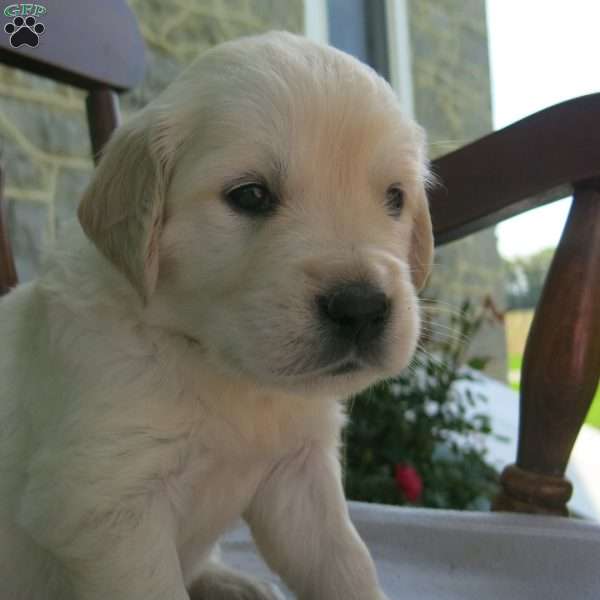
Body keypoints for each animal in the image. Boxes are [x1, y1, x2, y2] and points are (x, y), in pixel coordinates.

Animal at [0, 31, 432, 600]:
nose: (361, 307)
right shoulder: (104, 507)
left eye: (395, 197)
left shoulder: (300, 479)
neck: (218, 366)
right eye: (250, 195)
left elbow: (346, 563)